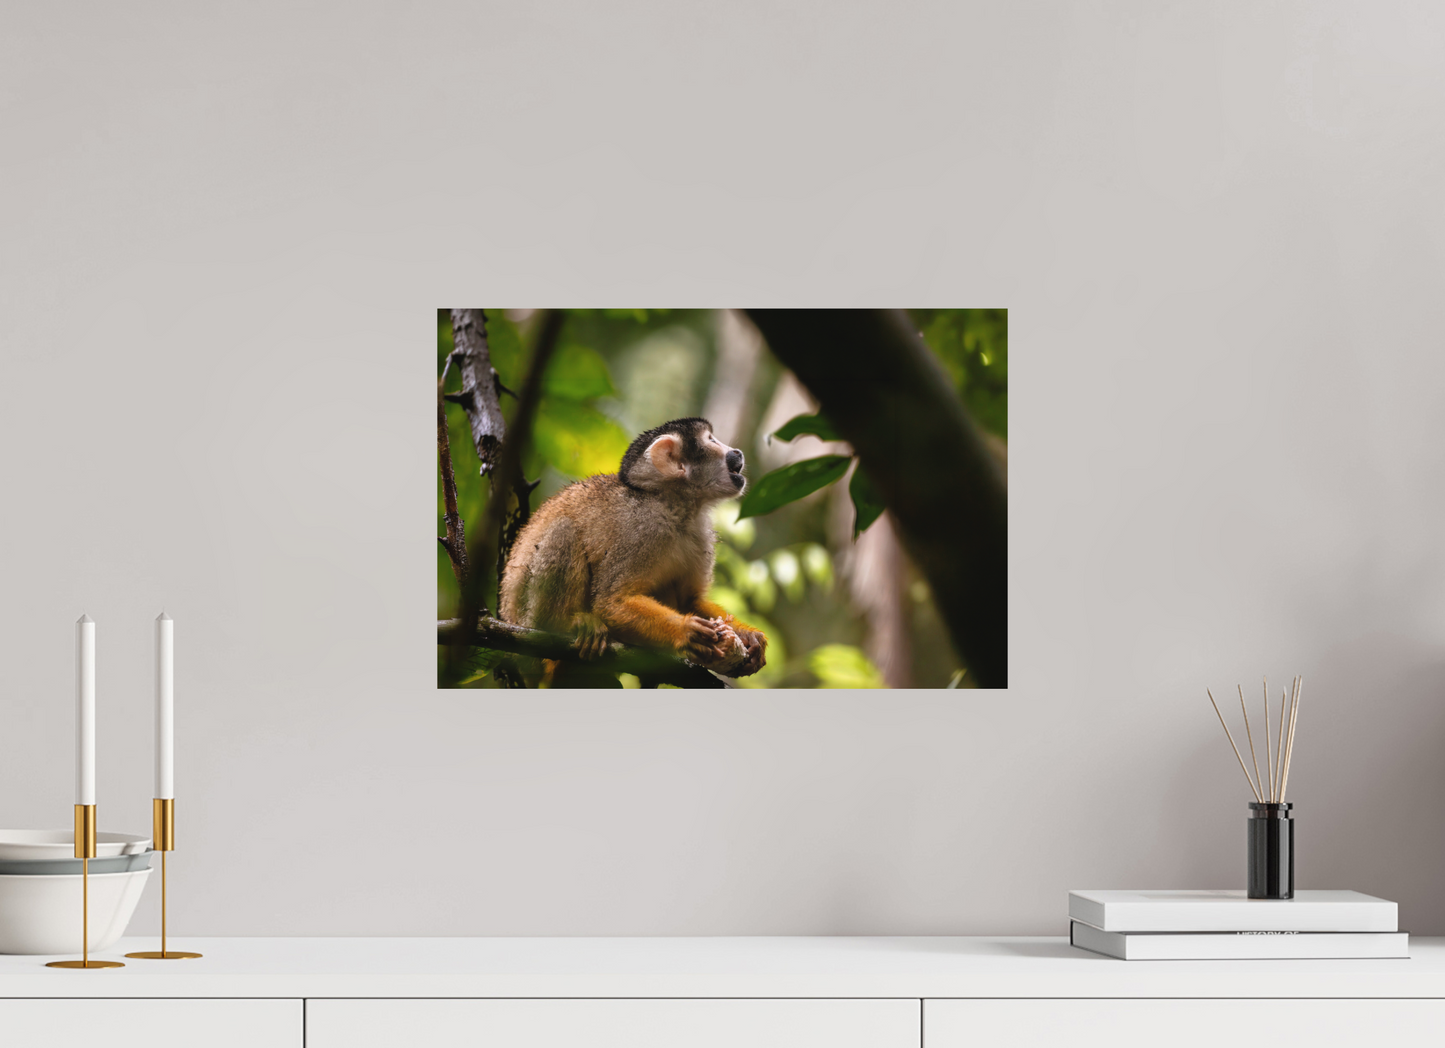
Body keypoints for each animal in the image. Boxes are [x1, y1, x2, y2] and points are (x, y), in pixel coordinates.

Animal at [499, 417, 767, 678]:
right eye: (711, 440)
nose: (737, 453)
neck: (674, 508)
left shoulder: (701, 534)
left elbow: (689, 600)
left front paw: (746, 634)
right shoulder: (641, 530)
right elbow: (611, 602)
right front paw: (686, 632)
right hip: (528, 620)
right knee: (563, 531)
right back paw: (565, 632)